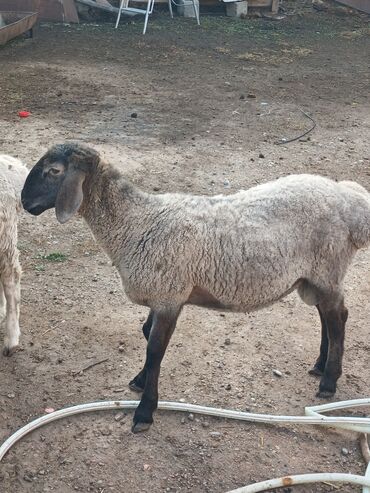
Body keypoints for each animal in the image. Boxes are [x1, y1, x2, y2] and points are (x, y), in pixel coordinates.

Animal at [20, 142, 370, 430]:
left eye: (54, 171)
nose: (23, 201)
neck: (135, 223)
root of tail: (350, 200)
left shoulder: (169, 295)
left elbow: (155, 348)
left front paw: (145, 411)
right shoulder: (163, 295)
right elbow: (147, 336)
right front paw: (140, 381)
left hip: (327, 267)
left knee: (338, 317)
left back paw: (328, 382)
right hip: (314, 275)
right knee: (327, 317)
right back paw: (320, 365)